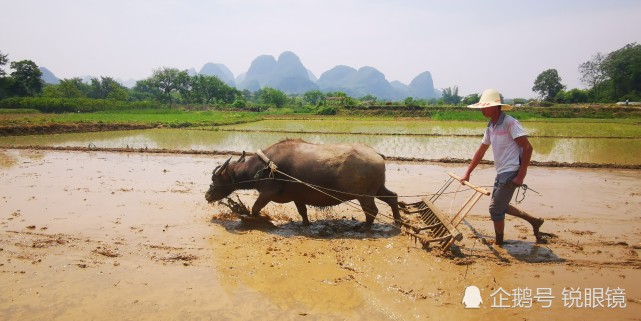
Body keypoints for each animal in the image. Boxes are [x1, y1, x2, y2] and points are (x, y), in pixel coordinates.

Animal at [205, 138, 398, 228]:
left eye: (215, 178)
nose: (207, 195)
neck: (264, 167)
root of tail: (376, 154)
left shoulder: (267, 193)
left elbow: (255, 208)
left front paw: (255, 220)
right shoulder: (298, 196)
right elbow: (302, 212)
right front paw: (305, 224)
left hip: (364, 196)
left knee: (372, 211)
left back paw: (364, 227)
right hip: (378, 189)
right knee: (393, 197)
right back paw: (397, 221)